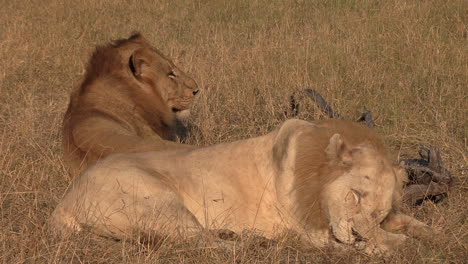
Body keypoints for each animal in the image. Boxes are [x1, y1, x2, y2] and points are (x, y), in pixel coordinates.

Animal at [49, 119, 436, 254]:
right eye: (354, 196)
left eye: (378, 210)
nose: (356, 236)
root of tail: (64, 202)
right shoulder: (307, 227)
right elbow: (379, 241)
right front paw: (391, 245)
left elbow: (409, 223)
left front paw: (432, 234)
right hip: (160, 202)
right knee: (203, 245)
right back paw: (255, 243)